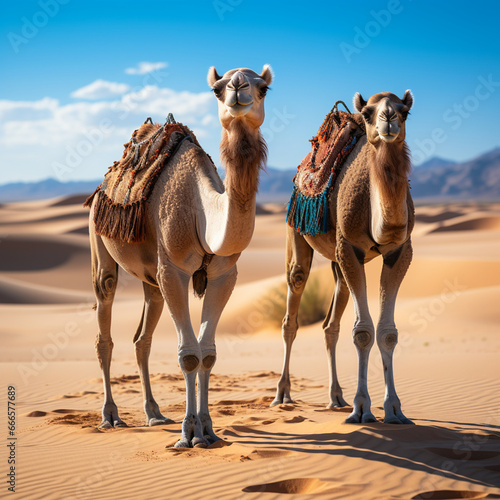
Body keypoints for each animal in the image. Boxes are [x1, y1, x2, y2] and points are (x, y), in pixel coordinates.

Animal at [87, 65, 272, 446]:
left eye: (264, 87)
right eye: (217, 89)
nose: (237, 87)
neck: (203, 213)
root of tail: (101, 185)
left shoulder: (224, 275)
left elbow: (208, 353)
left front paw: (208, 430)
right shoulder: (173, 270)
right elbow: (188, 355)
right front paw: (189, 434)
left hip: (151, 278)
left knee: (142, 339)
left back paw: (154, 413)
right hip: (101, 244)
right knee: (104, 328)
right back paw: (110, 416)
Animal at [272, 91, 416, 426]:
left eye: (405, 111)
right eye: (368, 112)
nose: (389, 118)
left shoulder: (400, 252)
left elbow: (387, 333)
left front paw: (394, 410)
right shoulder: (349, 246)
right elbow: (363, 332)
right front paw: (362, 409)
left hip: (338, 261)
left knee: (330, 324)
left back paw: (336, 397)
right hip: (296, 229)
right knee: (292, 306)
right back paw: (282, 394)